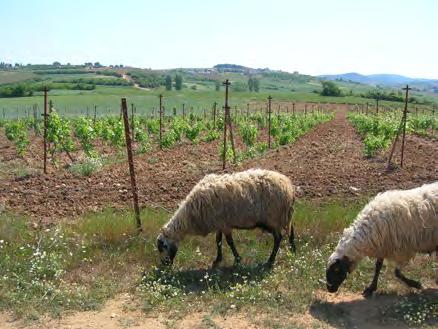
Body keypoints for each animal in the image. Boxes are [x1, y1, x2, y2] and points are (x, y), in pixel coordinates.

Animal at [156, 169, 296, 266]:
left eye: (163, 246)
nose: (165, 265)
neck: (190, 216)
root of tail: (289, 187)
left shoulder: (225, 224)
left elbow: (229, 242)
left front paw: (237, 260)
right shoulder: (219, 223)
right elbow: (218, 241)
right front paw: (218, 259)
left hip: (274, 218)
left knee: (278, 238)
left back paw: (270, 260)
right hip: (284, 216)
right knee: (291, 229)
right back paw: (293, 249)